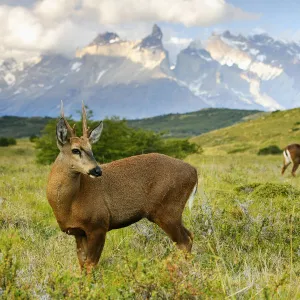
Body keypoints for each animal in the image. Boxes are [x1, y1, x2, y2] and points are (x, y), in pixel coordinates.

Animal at [45, 102, 198, 272]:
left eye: (91, 149)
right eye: (75, 150)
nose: (97, 170)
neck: (70, 204)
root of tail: (194, 171)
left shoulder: (99, 224)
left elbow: (91, 265)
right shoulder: (79, 232)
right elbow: (82, 265)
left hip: (167, 210)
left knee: (184, 241)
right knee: (189, 236)